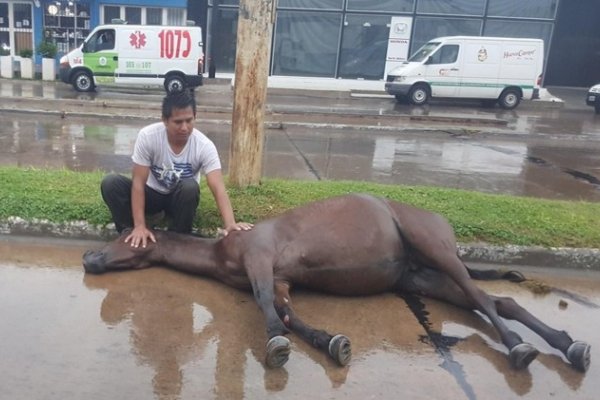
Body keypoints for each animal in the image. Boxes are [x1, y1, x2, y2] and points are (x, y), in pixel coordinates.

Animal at [83, 194, 592, 372]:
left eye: (122, 237)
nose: (89, 259)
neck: (226, 249)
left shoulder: (261, 261)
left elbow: (268, 308)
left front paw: (275, 345)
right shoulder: (280, 278)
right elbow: (289, 313)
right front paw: (332, 343)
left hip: (438, 252)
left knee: (483, 297)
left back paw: (521, 349)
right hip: (423, 276)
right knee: (499, 300)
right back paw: (569, 346)